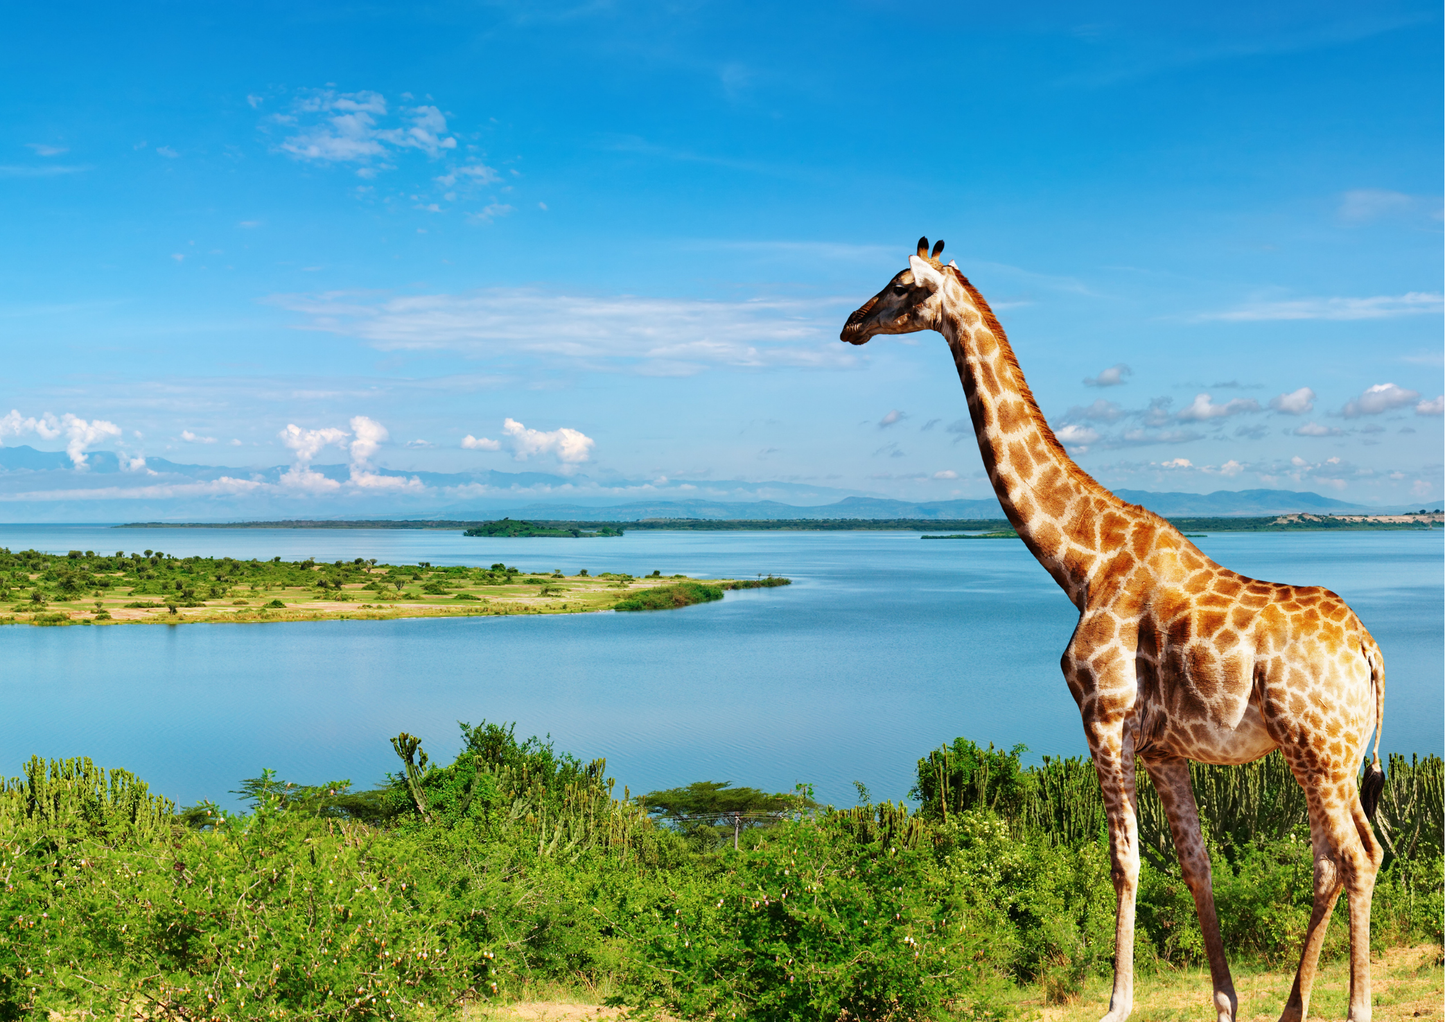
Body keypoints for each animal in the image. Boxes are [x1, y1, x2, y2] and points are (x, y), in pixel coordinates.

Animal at [841, 238, 1388, 1022]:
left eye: (900, 285)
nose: (850, 325)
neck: (1080, 561)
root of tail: (1370, 650)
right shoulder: (1163, 749)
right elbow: (1194, 863)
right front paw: (1225, 1001)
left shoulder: (1103, 717)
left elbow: (1124, 861)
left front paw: (1115, 1002)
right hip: (1316, 754)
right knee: (1330, 859)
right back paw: (1292, 1007)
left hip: (1321, 746)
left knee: (1358, 856)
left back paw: (1354, 1007)